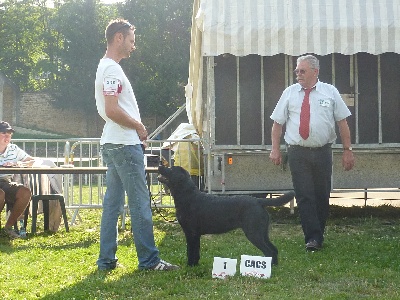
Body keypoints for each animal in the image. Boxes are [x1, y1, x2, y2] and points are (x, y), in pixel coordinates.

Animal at [158, 165, 296, 266]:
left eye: (171, 169)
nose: (159, 165)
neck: (187, 197)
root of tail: (258, 201)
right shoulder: (195, 234)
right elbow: (196, 251)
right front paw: (195, 265)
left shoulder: (191, 233)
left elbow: (190, 251)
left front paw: (189, 266)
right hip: (262, 232)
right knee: (274, 249)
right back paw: (275, 266)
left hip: (253, 232)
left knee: (268, 251)